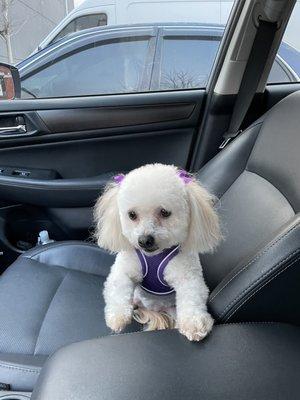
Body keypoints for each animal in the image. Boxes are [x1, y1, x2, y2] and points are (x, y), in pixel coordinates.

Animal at [95, 162, 221, 340]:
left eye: (164, 212)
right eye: (132, 215)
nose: (144, 240)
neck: (154, 256)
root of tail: (153, 309)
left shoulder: (188, 276)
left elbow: (193, 295)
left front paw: (194, 323)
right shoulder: (123, 268)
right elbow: (118, 285)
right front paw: (117, 316)